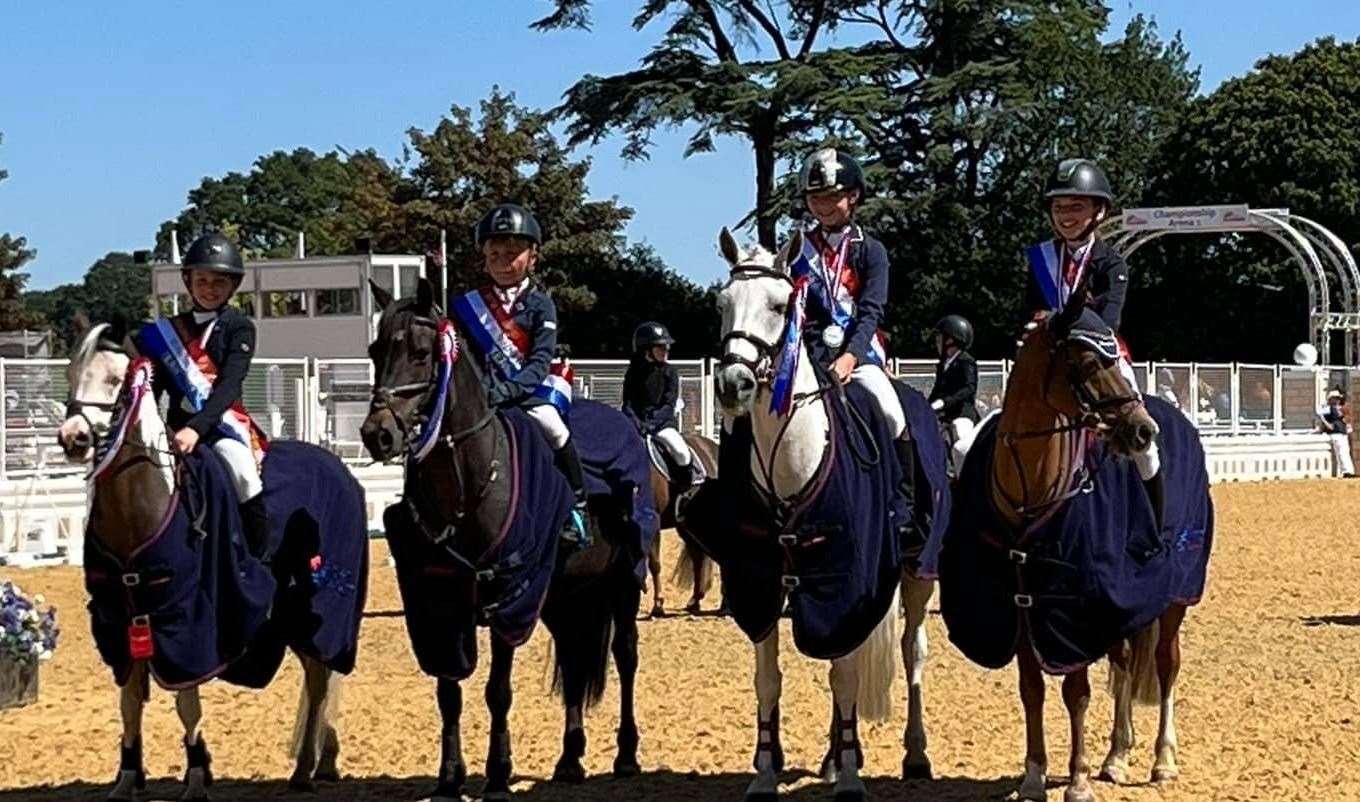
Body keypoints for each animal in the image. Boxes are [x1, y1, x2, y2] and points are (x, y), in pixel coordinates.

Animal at [57, 326, 367, 802]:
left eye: (115, 380)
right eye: (72, 373)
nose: (73, 438)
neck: (144, 507)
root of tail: (339, 468)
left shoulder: (186, 620)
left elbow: (187, 704)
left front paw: (198, 776)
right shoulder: (122, 621)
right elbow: (129, 705)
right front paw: (127, 778)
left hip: (316, 609)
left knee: (320, 678)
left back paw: (303, 770)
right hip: (291, 617)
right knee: (319, 674)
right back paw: (321, 762)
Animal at [364, 280, 650, 799]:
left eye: (421, 352)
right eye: (376, 350)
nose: (378, 434)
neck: (466, 484)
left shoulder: (509, 594)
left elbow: (497, 691)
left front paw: (497, 774)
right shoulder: (442, 602)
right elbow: (449, 693)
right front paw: (449, 778)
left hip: (621, 583)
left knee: (625, 656)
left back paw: (625, 755)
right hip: (562, 594)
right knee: (574, 659)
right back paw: (569, 759)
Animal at [701, 229, 946, 799]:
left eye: (779, 304)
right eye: (723, 304)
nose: (733, 385)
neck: (792, 460)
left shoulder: (849, 584)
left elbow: (845, 676)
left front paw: (852, 777)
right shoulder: (760, 584)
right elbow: (769, 680)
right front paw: (765, 773)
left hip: (917, 574)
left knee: (912, 651)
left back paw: (914, 754)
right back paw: (833, 756)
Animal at [941, 294, 1218, 802]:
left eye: (1117, 359)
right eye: (1088, 363)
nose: (1144, 431)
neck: (1032, 488)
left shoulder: (1073, 609)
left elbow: (1077, 692)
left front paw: (1077, 780)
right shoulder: (1025, 605)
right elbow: (1032, 688)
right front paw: (1034, 775)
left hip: (1173, 596)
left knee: (1166, 664)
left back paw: (1162, 760)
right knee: (1125, 664)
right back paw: (1118, 755)